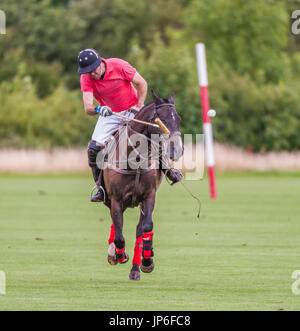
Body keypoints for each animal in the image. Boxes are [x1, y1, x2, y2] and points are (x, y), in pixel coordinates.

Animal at [101, 91, 182, 280]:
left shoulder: (148, 196)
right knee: (116, 225)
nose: (177, 150)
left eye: (179, 119)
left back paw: (137, 267)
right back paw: (114, 254)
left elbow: (146, 227)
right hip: (112, 201)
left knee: (139, 229)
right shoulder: (116, 200)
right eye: (161, 120)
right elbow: (119, 235)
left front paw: (146, 261)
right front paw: (120, 254)